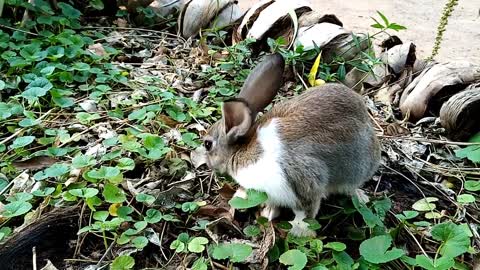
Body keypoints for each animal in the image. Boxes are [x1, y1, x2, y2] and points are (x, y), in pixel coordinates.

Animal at [203, 52, 382, 236]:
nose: (207, 164)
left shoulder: (303, 181)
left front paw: (299, 231)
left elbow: (305, 212)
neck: (241, 151)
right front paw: (267, 211)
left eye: (207, 144)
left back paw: (361, 197)